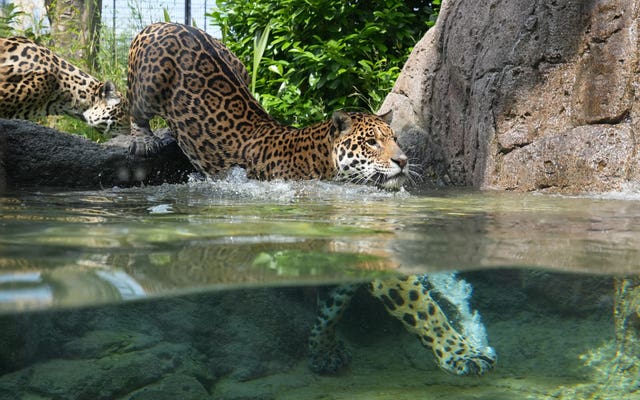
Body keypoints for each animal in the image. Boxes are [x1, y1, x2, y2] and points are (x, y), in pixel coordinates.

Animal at [127, 22, 496, 376]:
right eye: (373, 142)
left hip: (239, 63)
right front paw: (462, 353)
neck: (323, 163)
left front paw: (323, 348)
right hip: (148, 82)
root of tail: (171, 24)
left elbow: (333, 306)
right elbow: (424, 309)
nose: (403, 161)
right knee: (134, 109)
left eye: (395, 138)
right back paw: (141, 139)